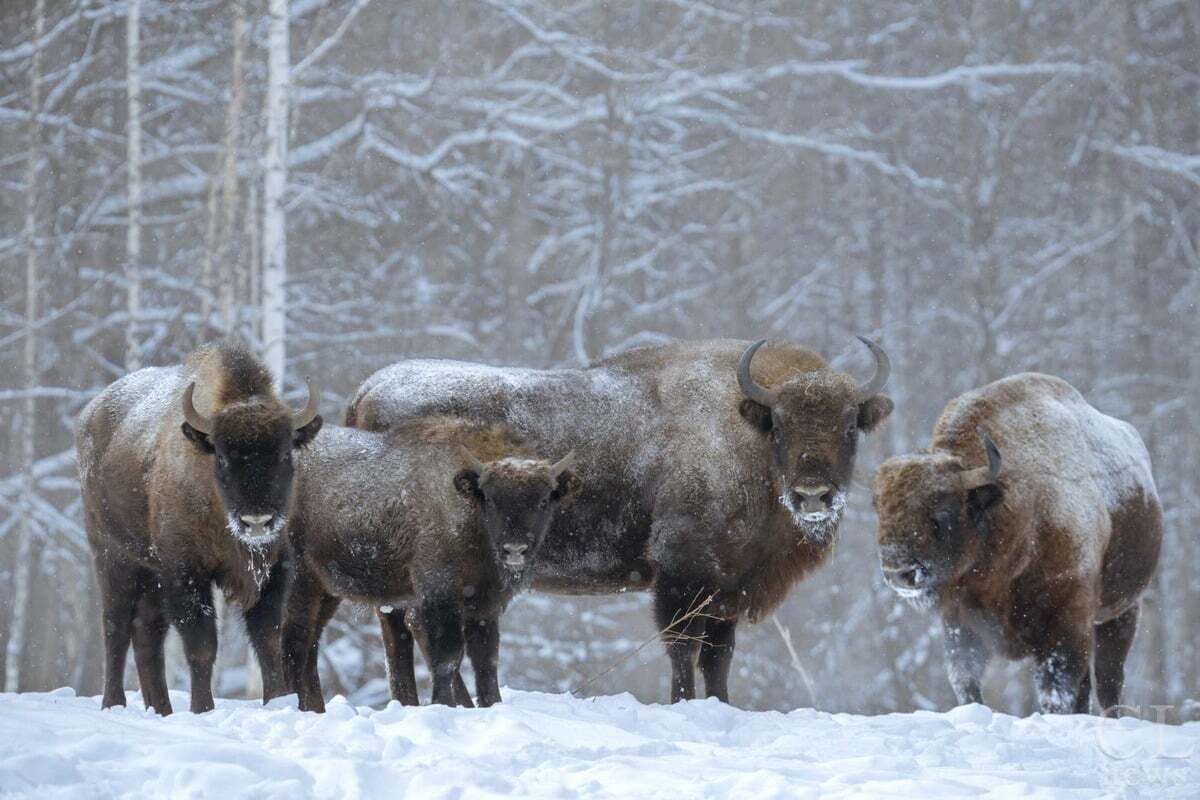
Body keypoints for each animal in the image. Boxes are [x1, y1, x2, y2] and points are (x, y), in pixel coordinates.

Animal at [78, 340, 326, 714]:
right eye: (222, 457)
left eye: (285, 454)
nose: (257, 521)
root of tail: (90, 414)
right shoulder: (186, 573)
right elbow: (201, 644)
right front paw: (202, 709)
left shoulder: (274, 571)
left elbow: (267, 639)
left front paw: (277, 702)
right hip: (112, 556)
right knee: (116, 626)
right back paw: (113, 704)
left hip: (150, 572)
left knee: (147, 631)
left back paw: (161, 709)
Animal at [282, 417, 580, 710]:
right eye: (491, 499)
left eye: (543, 500)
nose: (515, 549)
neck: (468, 508)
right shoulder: (439, 590)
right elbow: (447, 655)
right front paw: (443, 703)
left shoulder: (486, 604)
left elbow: (486, 659)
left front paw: (492, 703)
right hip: (301, 580)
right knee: (295, 639)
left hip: (327, 590)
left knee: (311, 643)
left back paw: (314, 707)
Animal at [348, 335, 892, 700]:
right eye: (778, 424)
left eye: (850, 425)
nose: (813, 495)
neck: (741, 432)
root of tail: (367, 391)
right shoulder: (682, 574)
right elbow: (684, 648)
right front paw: (683, 704)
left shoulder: (727, 589)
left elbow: (719, 658)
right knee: (420, 631)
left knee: (398, 633)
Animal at [873, 371, 1161, 714]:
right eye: (879, 509)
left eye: (942, 513)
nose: (898, 572)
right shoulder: (960, 621)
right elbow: (965, 681)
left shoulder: (1067, 620)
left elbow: (1055, 689)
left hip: (1123, 611)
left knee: (1108, 682)